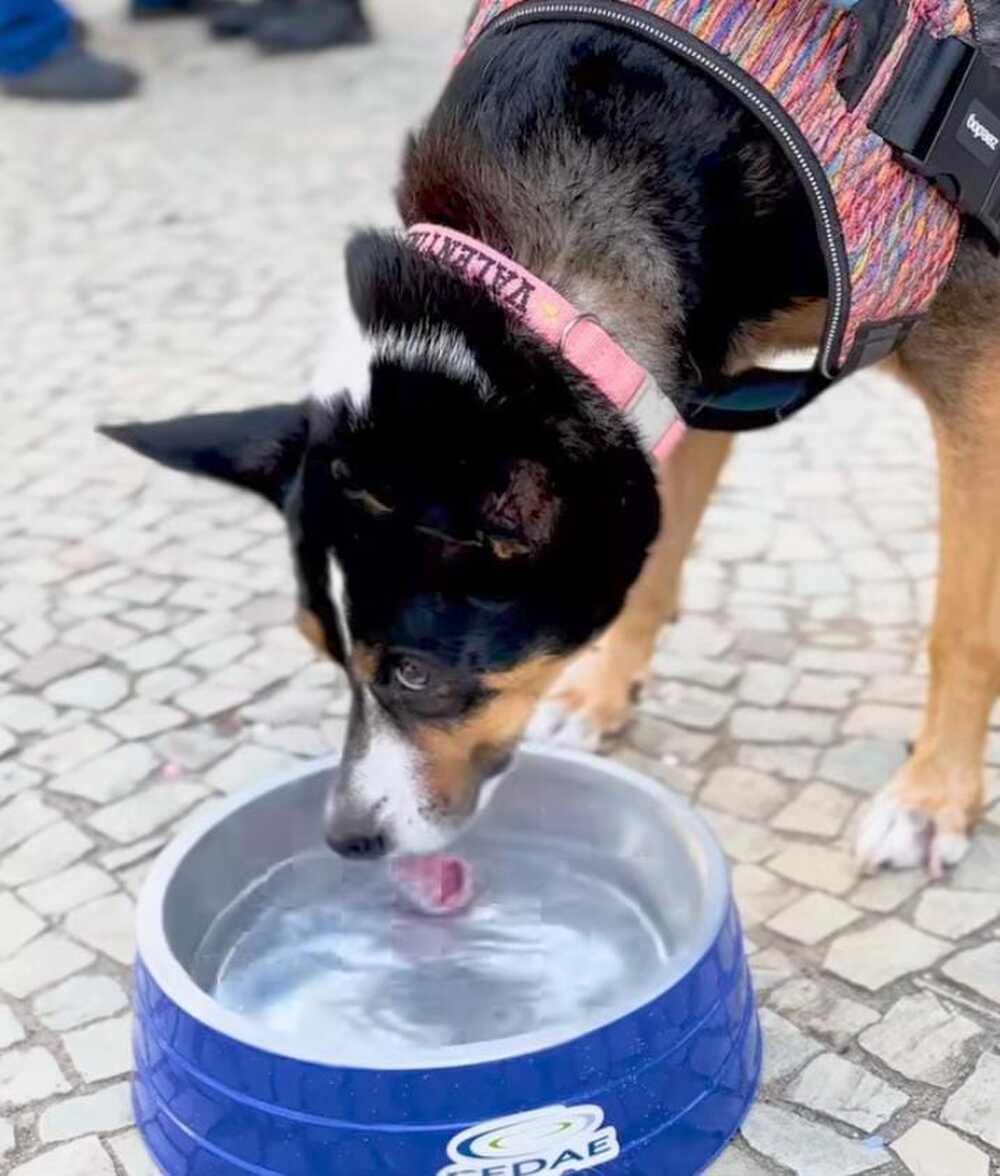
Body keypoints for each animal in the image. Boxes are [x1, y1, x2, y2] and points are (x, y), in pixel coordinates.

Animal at [101, 6, 997, 874]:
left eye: (417, 673)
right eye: (320, 649)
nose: (346, 838)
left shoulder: (976, 386)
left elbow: (961, 628)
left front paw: (931, 797)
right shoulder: (686, 372)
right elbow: (658, 556)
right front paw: (602, 692)